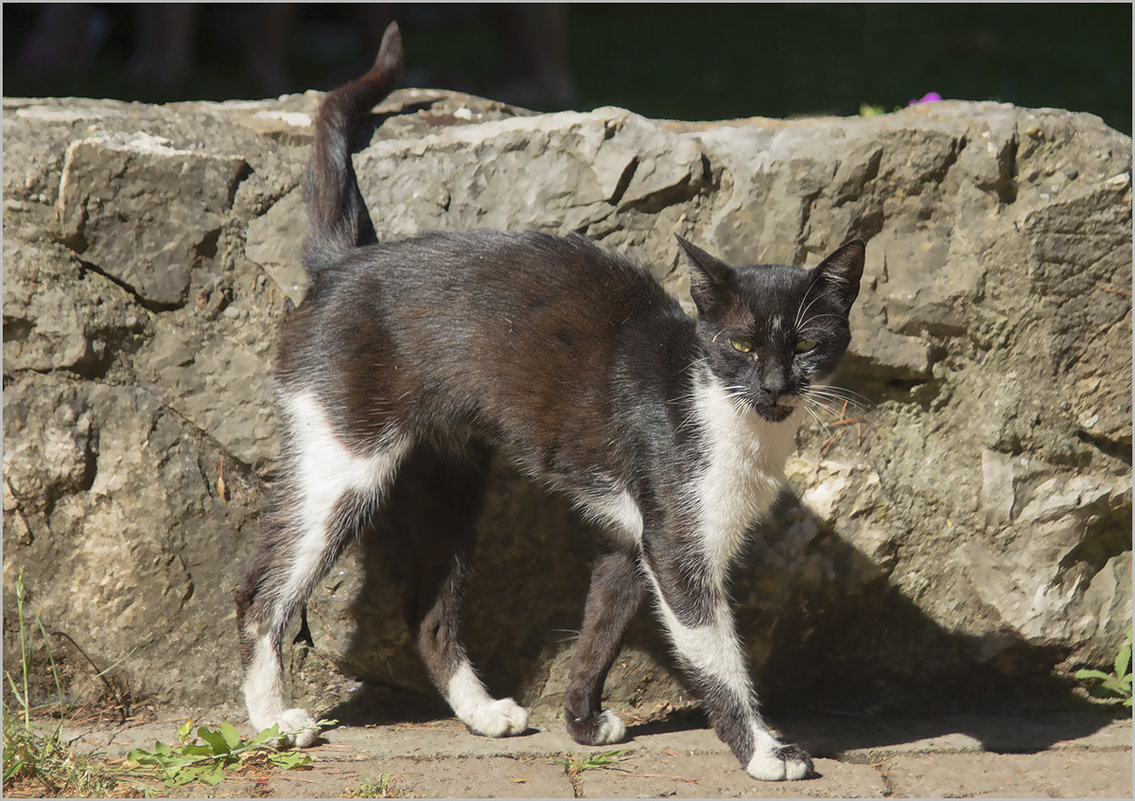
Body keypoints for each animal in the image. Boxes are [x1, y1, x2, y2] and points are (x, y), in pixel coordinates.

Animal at [234, 20, 862, 780]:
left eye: (807, 345)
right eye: (740, 344)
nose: (774, 384)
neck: (726, 411)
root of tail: (342, 262)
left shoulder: (636, 536)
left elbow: (601, 626)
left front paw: (582, 723)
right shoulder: (678, 546)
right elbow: (716, 657)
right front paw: (764, 750)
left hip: (450, 479)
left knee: (427, 610)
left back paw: (480, 712)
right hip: (343, 462)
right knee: (260, 587)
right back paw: (273, 719)